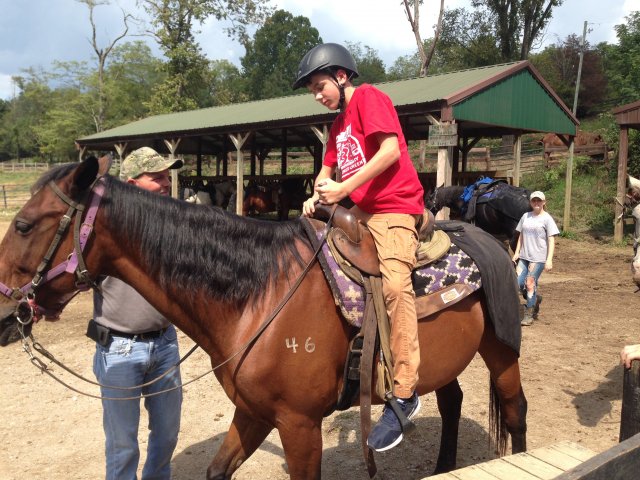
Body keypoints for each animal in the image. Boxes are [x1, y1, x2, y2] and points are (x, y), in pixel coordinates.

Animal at [0, 156, 528, 478]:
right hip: (440, 359)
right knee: (452, 401)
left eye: (23, 225)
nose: (5, 313)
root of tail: (486, 236)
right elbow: (218, 468)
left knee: (515, 410)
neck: (257, 297)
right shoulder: (253, 413)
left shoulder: (298, 425)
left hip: (501, 350)